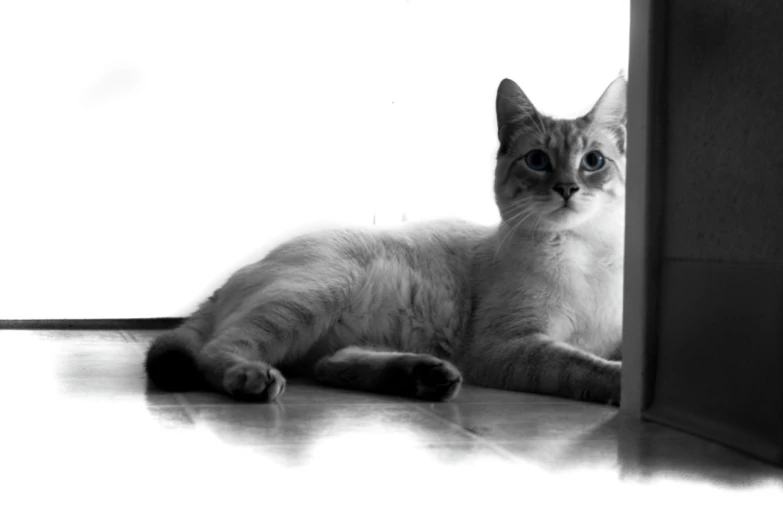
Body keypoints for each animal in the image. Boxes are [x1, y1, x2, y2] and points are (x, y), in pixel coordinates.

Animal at [144, 76, 628, 402]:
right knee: (218, 350)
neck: (587, 252)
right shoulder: (510, 345)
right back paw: (251, 379)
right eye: (537, 161)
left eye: (593, 161)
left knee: (329, 366)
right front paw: (617, 382)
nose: (567, 189)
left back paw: (427, 378)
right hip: (314, 297)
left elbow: (601, 356)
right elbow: (587, 366)